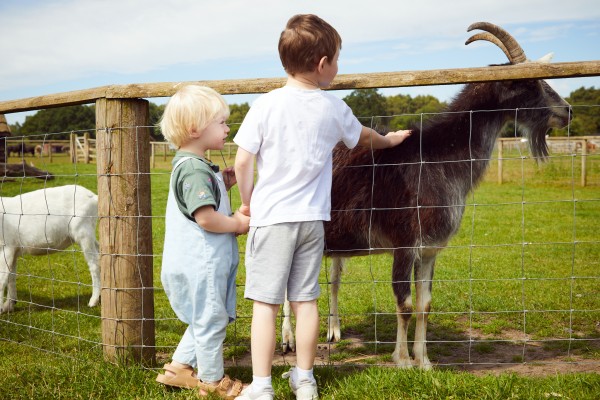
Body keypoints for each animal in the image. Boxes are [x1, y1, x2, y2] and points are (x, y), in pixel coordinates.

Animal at [0, 184, 100, 312]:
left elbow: (2, 279)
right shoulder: (13, 249)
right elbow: (11, 277)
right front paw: (9, 305)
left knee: (94, 264)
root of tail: (94, 197)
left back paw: (93, 300)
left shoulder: (5, 248)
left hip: (83, 231)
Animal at [282, 20, 572, 368]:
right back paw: (287, 339)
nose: (567, 111)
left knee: (332, 279)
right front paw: (403, 360)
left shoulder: (430, 250)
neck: (438, 158)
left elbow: (425, 305)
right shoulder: (405, 244)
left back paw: (333, 332)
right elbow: (404, 303)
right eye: (528, 83)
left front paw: (424, 361)